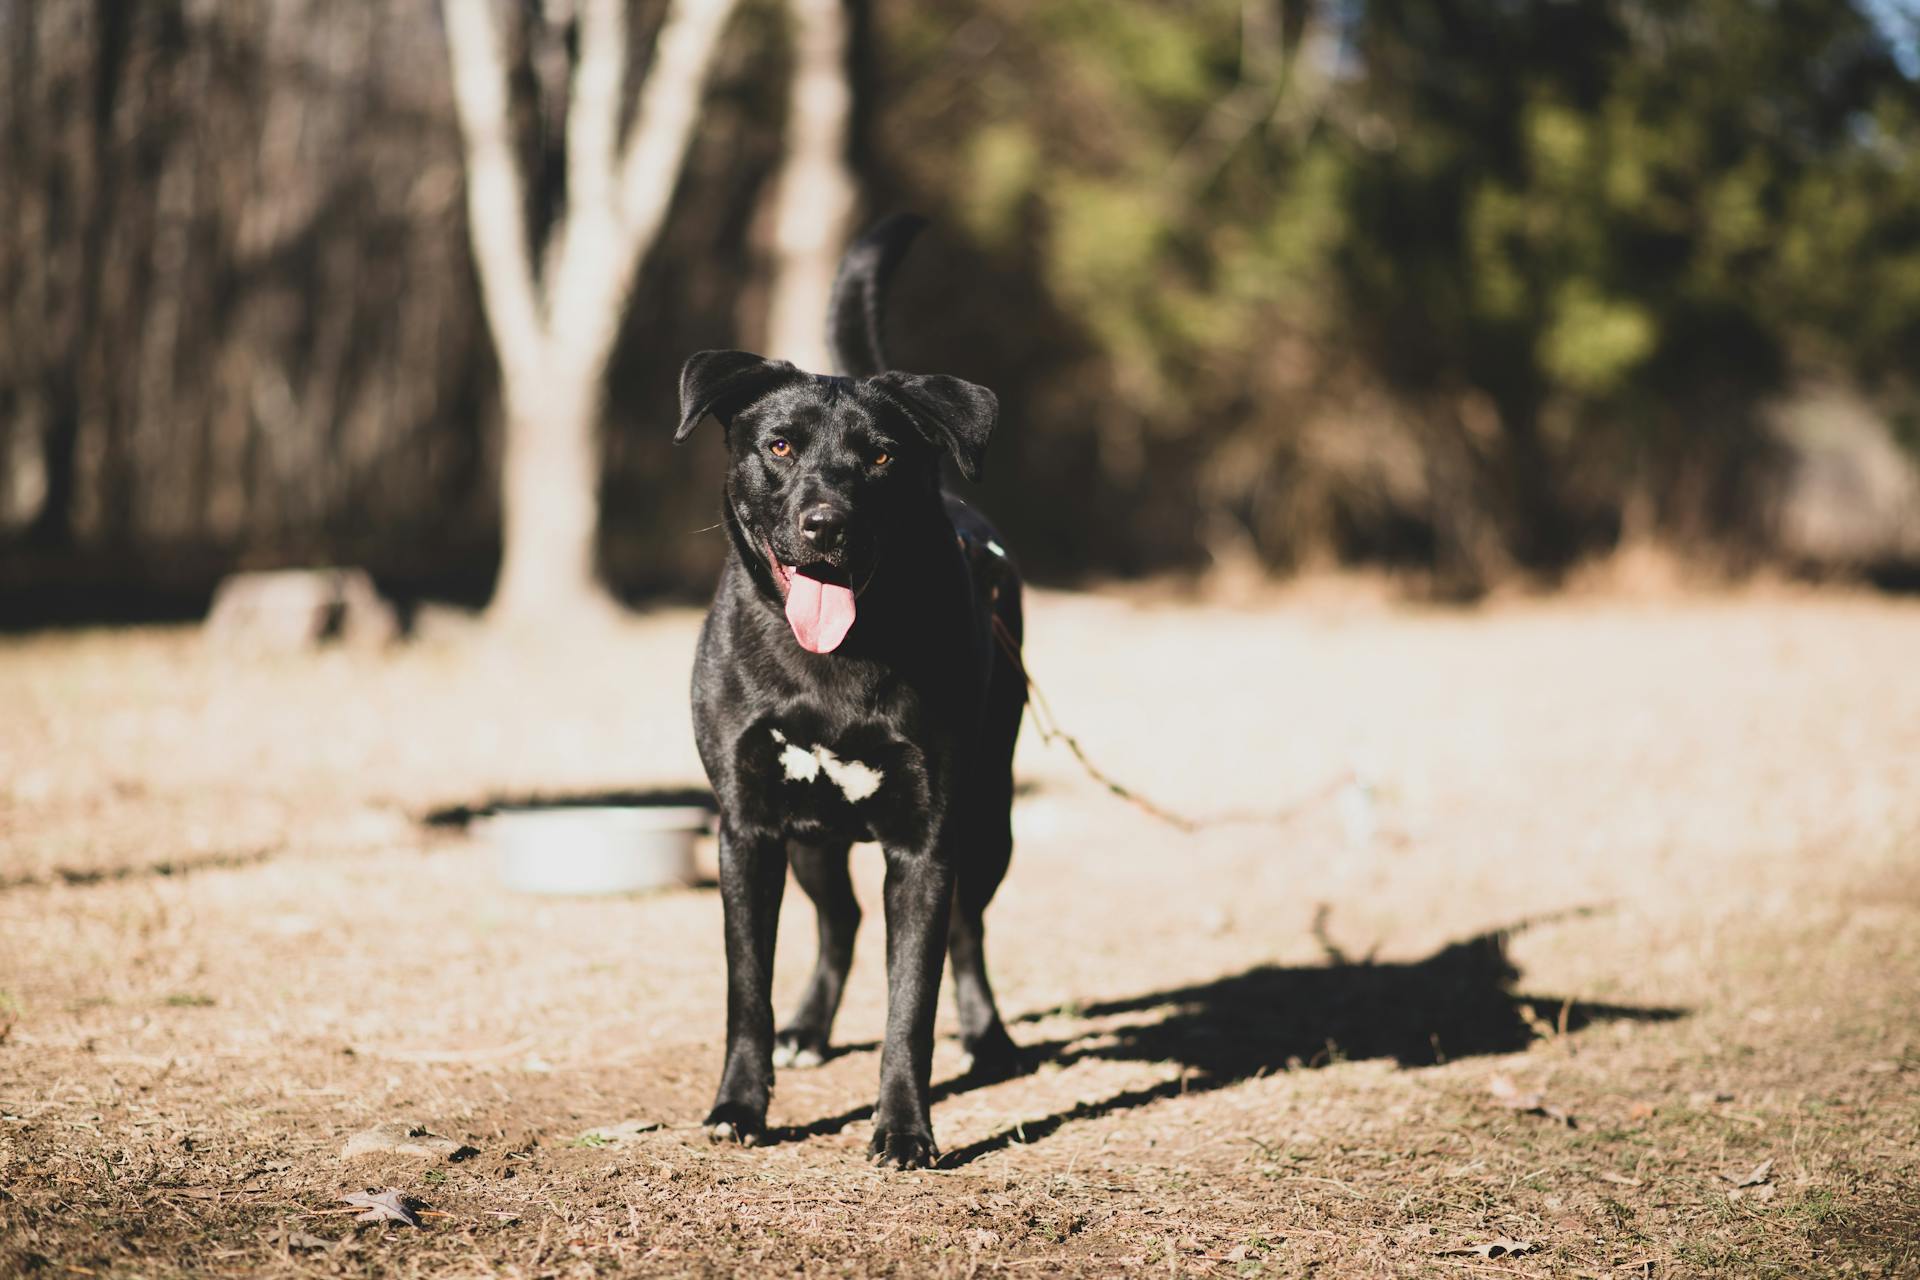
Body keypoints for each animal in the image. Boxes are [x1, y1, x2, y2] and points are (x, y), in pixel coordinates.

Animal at [683, 217, 1029, 1174]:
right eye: (779, 446)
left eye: (880, 455)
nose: (825, 526)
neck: (836, 662)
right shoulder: (747, 828)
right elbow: (746, 989)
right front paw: (740, 1105)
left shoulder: (926, 841)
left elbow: (911, 1001)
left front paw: (905, 1128)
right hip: (811, 838)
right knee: (836, 922)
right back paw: (808, 1029)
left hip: (989, 815)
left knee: (969, 932)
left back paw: (991, 1039)